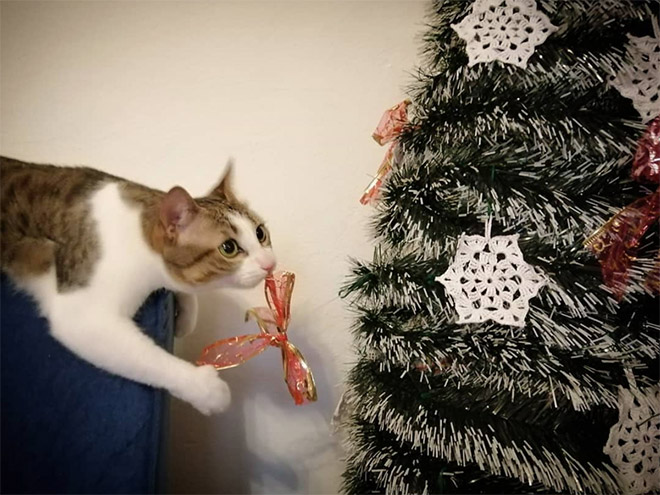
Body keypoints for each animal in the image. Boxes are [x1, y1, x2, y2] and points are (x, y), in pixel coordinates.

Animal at [0, 158, 274, 414]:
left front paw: (185, 319)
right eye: (229, 248)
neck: (137, 235)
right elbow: (147, 357)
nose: (270, 263)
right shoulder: (81, 314)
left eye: (260, 233)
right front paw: (206, 388)